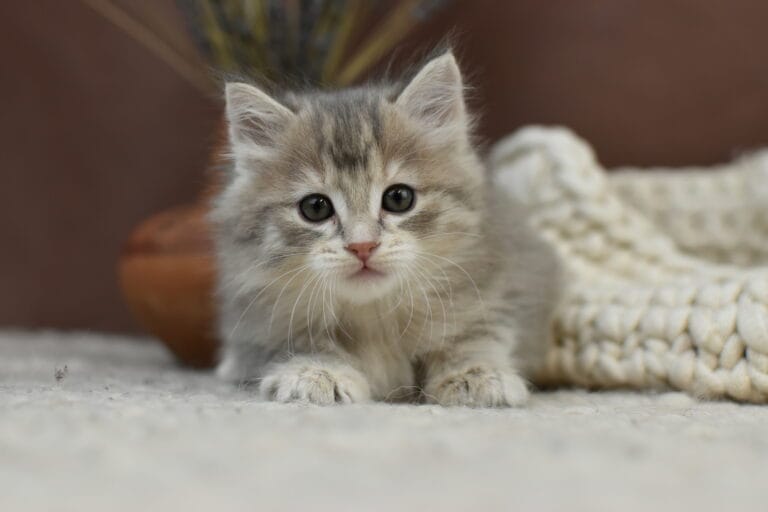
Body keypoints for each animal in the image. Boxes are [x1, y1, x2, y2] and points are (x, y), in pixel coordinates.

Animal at [212, 52, 561, 407]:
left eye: (398, 198)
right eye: (315, 208)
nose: (362, 246)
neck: (375, 319)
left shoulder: (506, 284)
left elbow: (476, 334)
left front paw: (473, 374)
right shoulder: (258, 320)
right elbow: (304, 344)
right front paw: (316, 372)